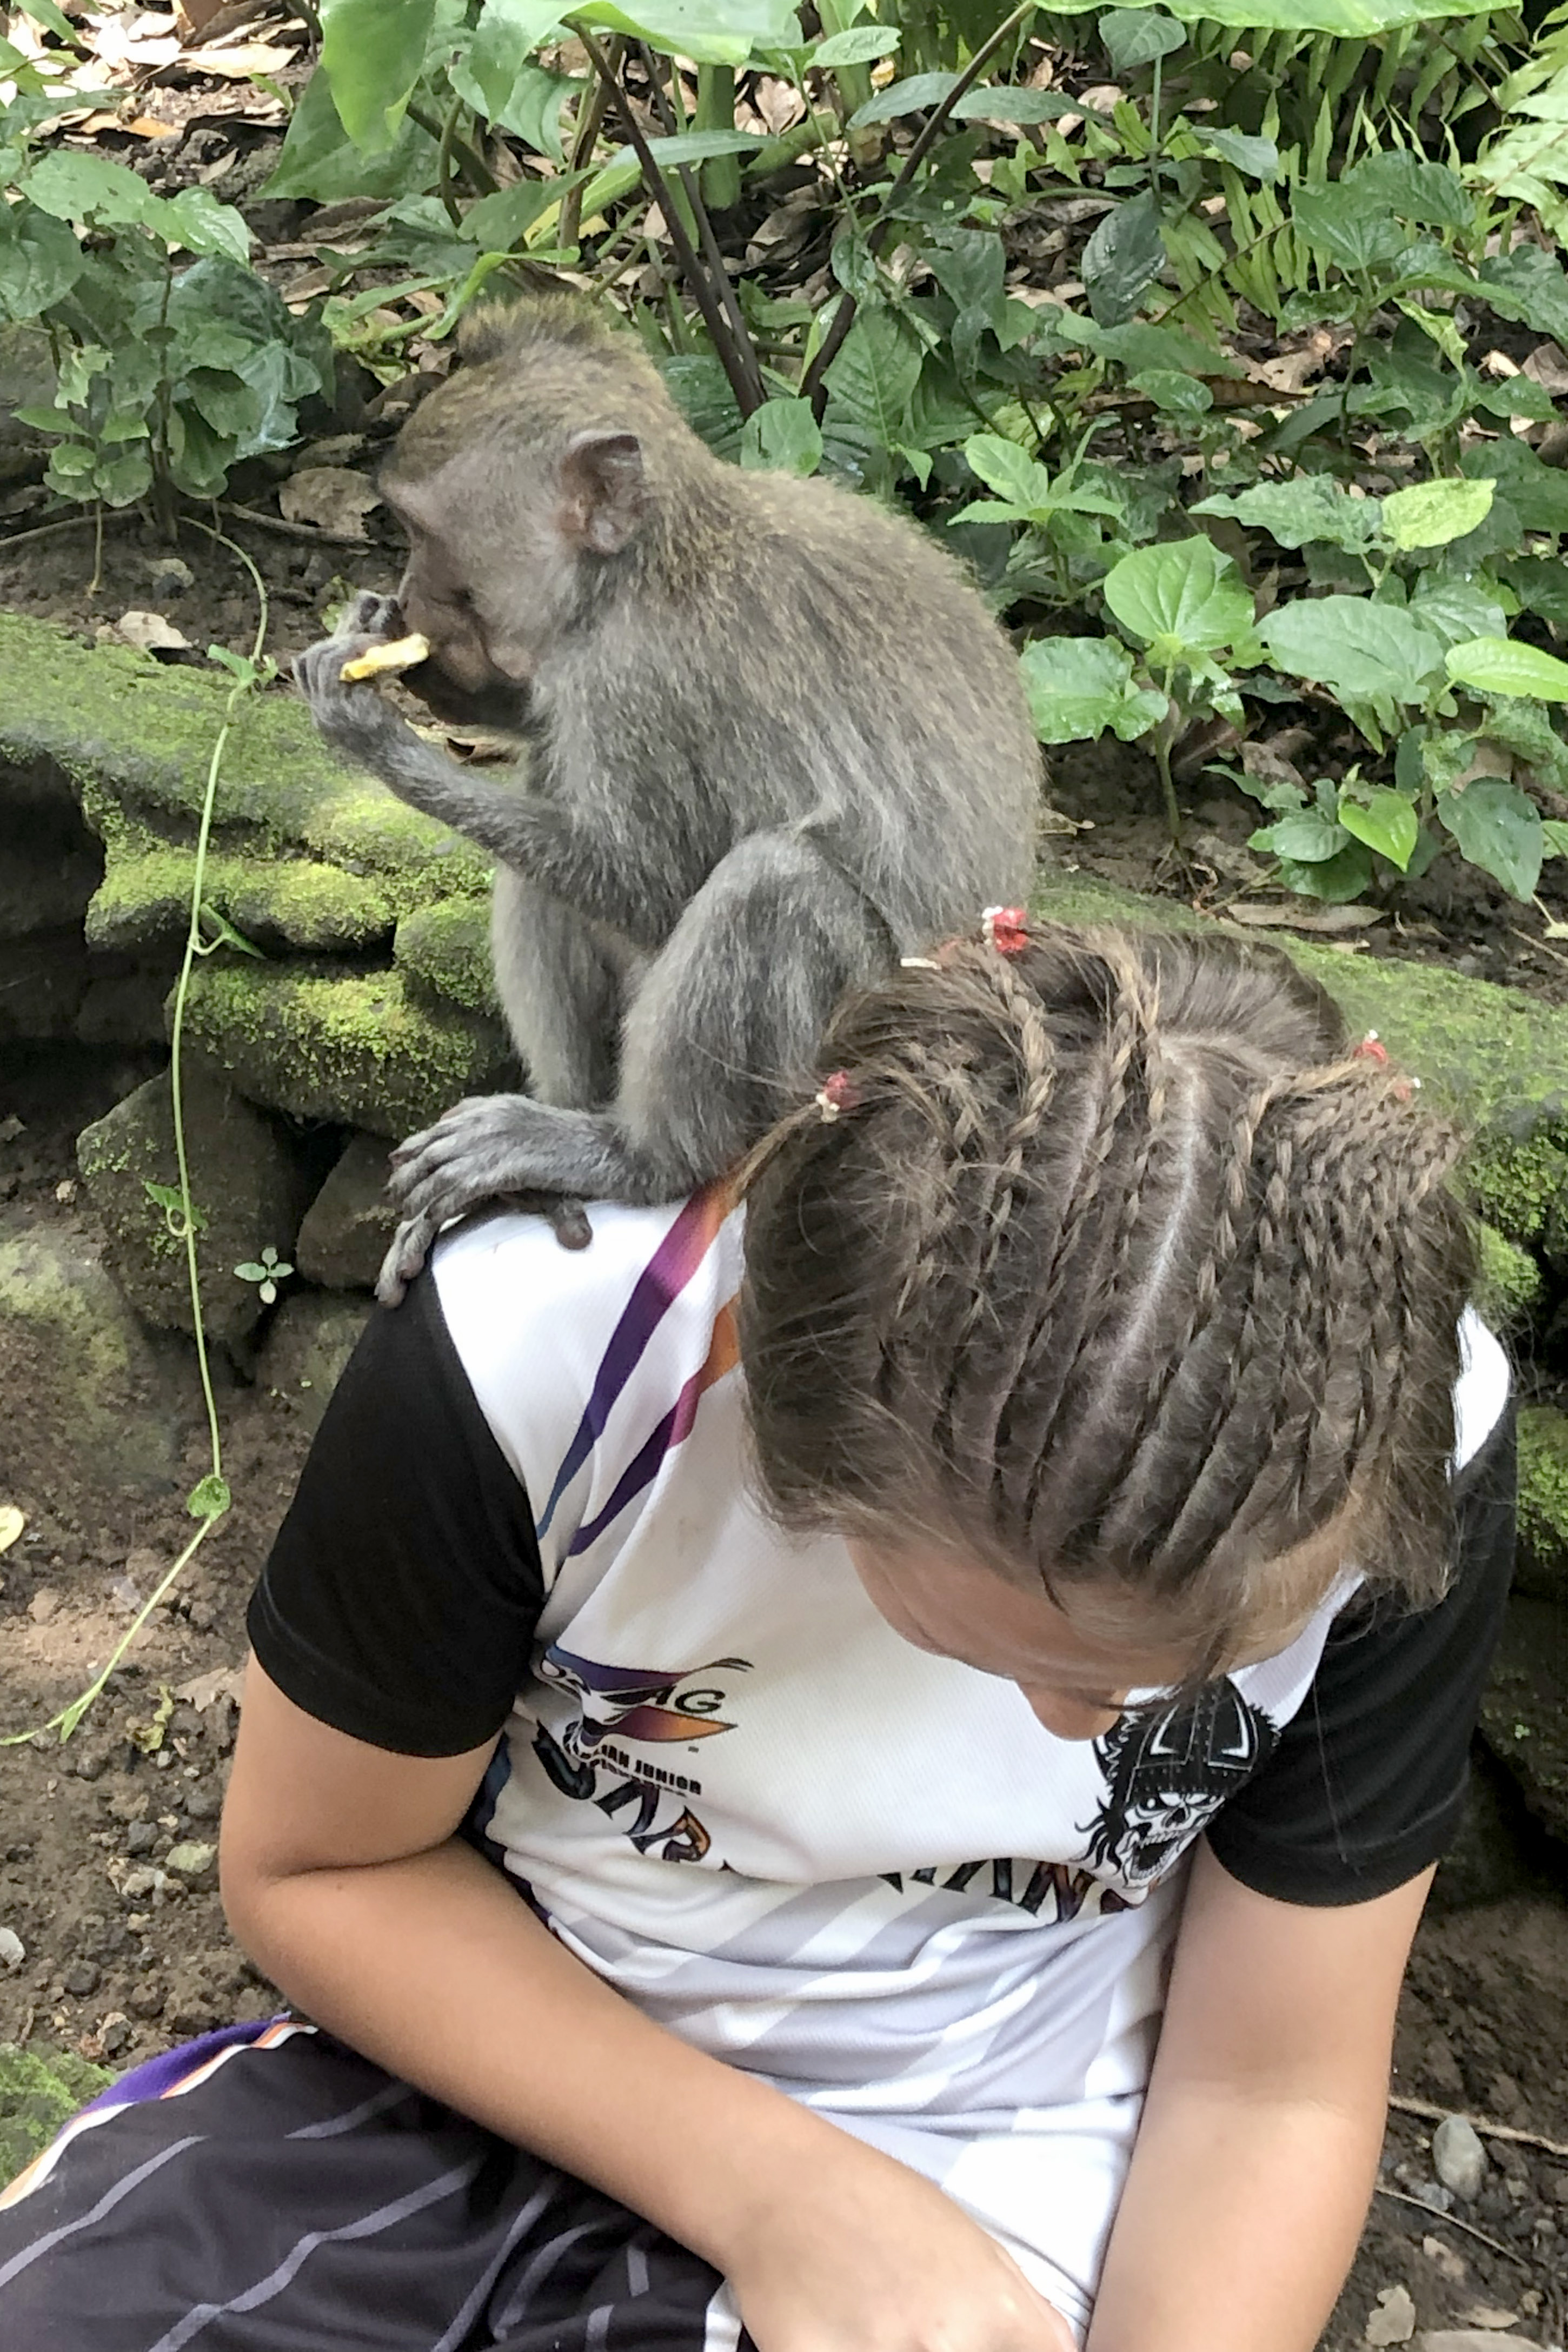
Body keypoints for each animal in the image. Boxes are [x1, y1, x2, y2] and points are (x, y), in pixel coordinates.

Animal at [301, 294, 1048, 1307]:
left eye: (424, 534)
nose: (408, 597)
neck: (636, 570)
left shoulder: (638, 684)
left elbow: (655, 887)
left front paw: (372, 730)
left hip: (845, 1078)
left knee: (773, 885)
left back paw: (640, 1156)